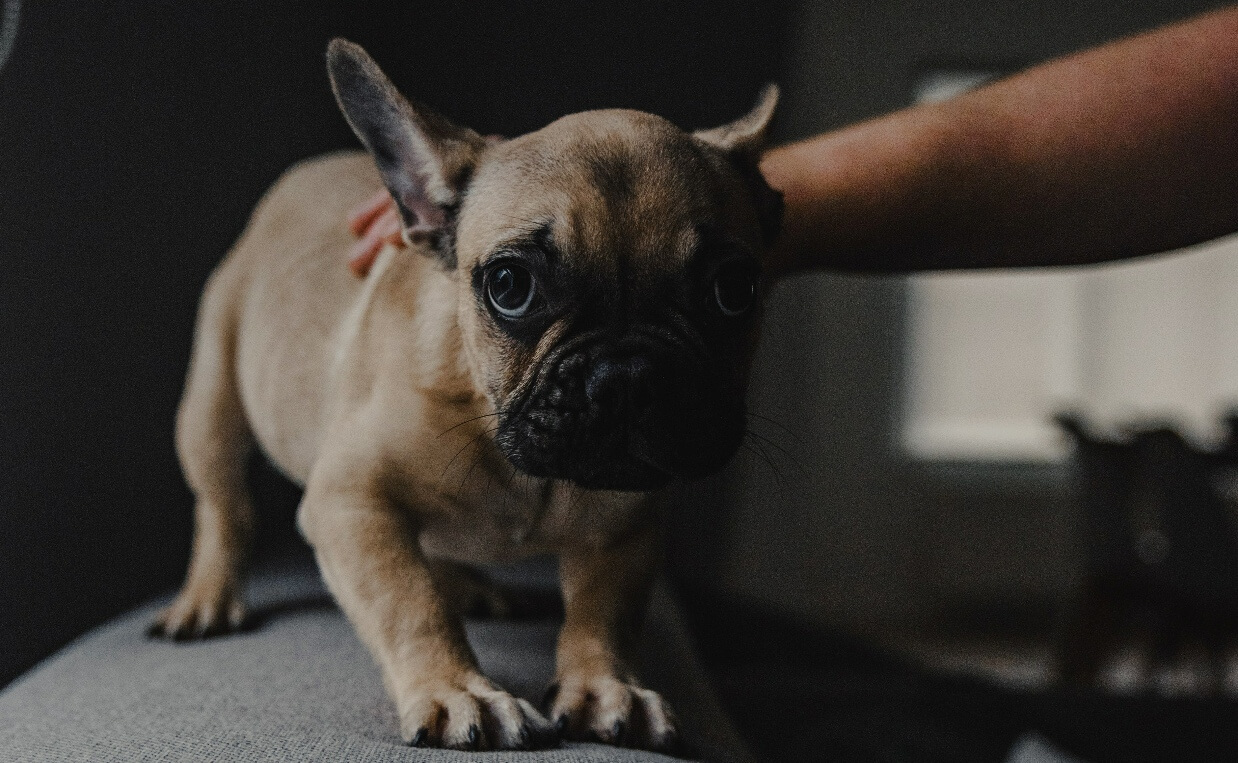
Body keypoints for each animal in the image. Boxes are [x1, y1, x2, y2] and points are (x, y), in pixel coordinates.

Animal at [147, 37, 782, 753]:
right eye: (510, 285)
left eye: (734, 289)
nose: (627, 373)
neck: (512, 456)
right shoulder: (351, 502)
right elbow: (409, 603)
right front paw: (458, 690)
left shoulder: (625, 528)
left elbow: (605, 614)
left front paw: (603, 685)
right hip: (211, 406)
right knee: (224, 508)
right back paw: (205, 598)